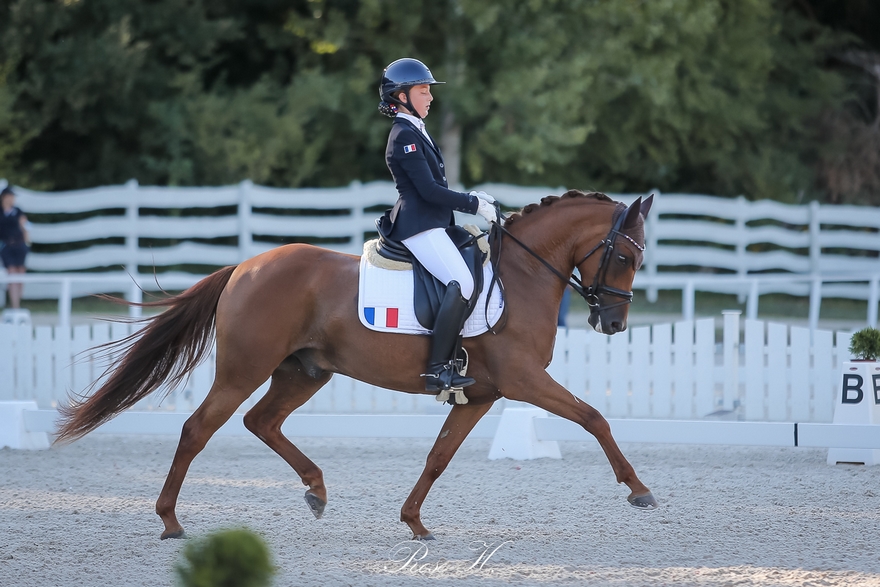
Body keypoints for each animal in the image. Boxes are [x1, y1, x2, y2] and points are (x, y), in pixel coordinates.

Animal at [55, 191, 656, 540]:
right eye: (626, 257)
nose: (613, 323)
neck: (521, 276)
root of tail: (245, 267)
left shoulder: (481, 393)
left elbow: (439, 456)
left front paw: (414, 522)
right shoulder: (524, 380)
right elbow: (594, 417)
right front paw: (638, 490)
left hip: (304, 372)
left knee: (261, 421)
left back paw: (316, 490)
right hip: (244, 369)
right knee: (198, 429)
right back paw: (171, 521)